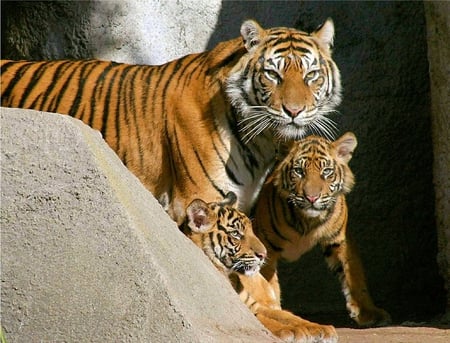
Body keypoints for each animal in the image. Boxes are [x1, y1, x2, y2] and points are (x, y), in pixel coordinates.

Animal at [184, 192, 338, 342]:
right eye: (236, 234)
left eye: (251, 231)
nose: (264, 254)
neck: (228, 275)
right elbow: (262, 321)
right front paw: (293, 331)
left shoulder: (254, 305)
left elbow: (288, 316)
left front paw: (321, 329)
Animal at [251, 132, 392, 328]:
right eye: (299, 171)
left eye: (326, 172)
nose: (311, 197)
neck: (308, 221)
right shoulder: (267, 246)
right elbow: (268, 282)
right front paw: (276, 310)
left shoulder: (340, 240)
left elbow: (354, 274)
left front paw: (368, 312)